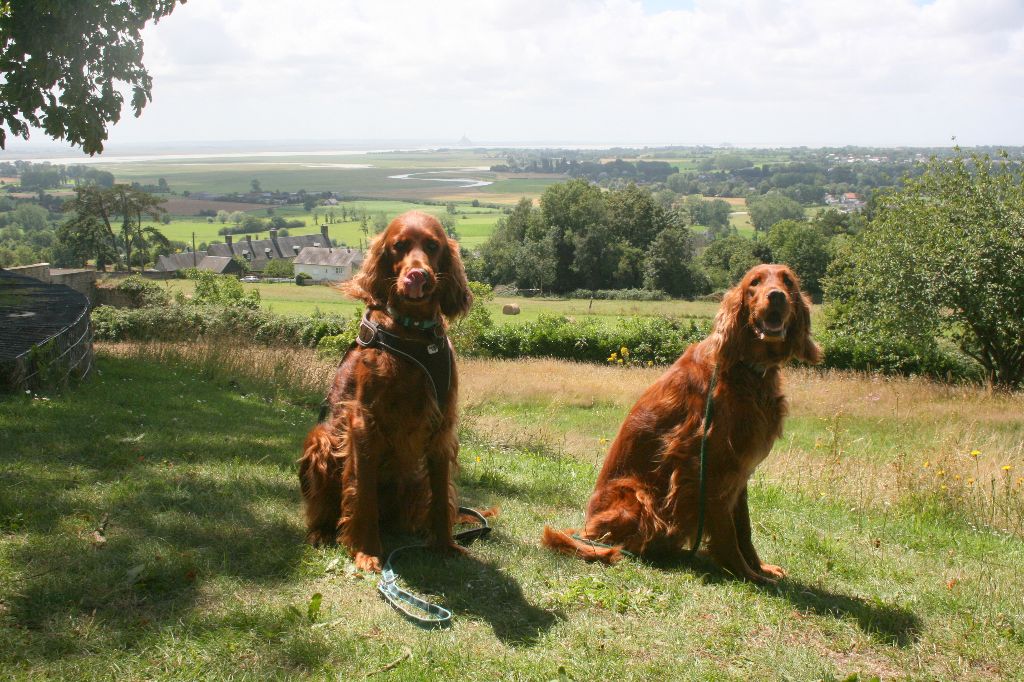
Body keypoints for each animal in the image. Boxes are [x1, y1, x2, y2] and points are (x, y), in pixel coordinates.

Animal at [296, 208, 471, 569]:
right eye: (399, 246)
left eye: (432, 246)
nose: (416, 276)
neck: (414, 333)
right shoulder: (364, 423)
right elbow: (362, 494)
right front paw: (365, 551)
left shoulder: (441, 424)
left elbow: (441, 493)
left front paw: (445, 544)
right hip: (321, 439)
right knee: (325, 508)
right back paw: (321, 532)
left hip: (412, 479)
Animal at [544, 262, 823, 581]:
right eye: (755, 282)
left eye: (788, 281)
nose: (776, 296)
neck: (745, 369)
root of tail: (585, 528)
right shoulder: (709, 466)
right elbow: (728, 532)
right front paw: (747, 574)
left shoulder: (738, 471)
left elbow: (744, 528)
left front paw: (759, 567)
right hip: (637, 495)